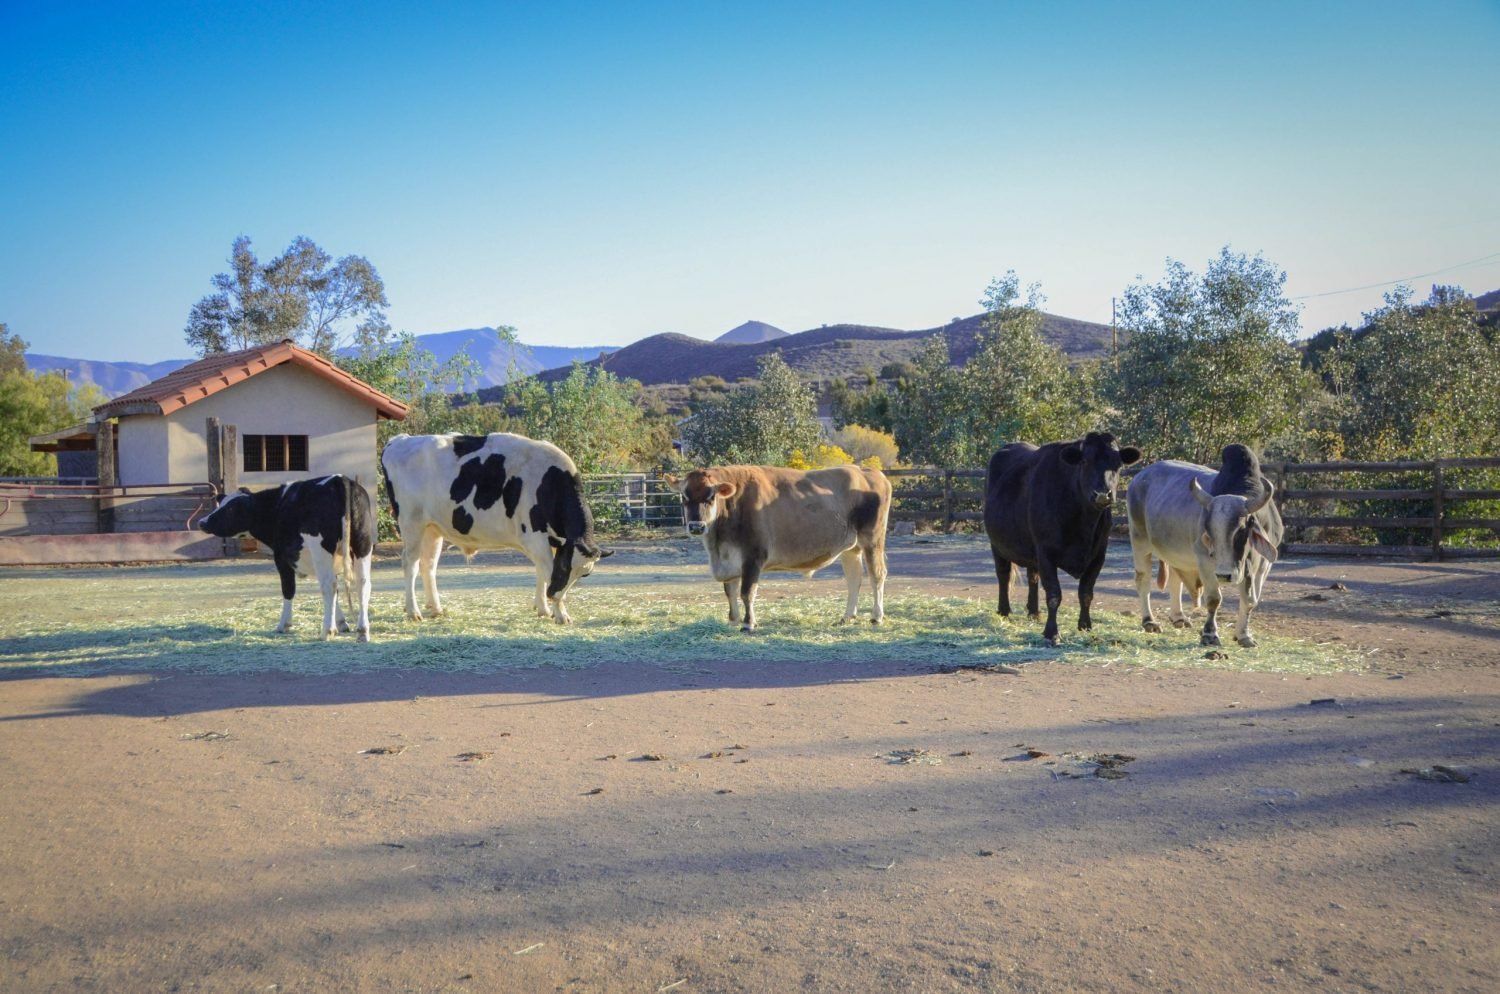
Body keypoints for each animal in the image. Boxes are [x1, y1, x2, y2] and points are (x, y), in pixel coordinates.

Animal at [198, 476, 373, 644]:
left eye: (230, 508)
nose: (202, 522)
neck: (277, 507)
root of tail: (339, 479)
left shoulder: (281, 558)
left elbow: (288, 590)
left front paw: (284, 624)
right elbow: (336, 593)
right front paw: (342, 623)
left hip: (321, 549)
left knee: (329, 585)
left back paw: (327, 632)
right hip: (363, 544)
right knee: (362, 583)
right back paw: (362, 631)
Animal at [378, 434, 612, 626]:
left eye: (585, 574)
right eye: (564, 567)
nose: (552, 594)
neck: (550, 483)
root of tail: (400, 440)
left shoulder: (551, 542)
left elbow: (541, 572)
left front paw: (544, 608)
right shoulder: (536, 538)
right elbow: (546, 571)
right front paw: (560, 614)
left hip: (432, 528)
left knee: (428, 565)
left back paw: (436, 609)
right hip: (411, 522)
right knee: (410, 563)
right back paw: (413, 611)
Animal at [669, 464, 888, 632]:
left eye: (711, 497)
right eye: (684, 498)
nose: (696, 526)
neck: (718, 543)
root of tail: (868, 471)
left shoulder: (753, 557)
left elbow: (747, 592)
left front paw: (748, 624)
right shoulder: (729, 560)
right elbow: (730, 592)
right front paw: (733, 621)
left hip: (872, 540)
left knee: (877, 575)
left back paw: (876, 616)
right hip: (851, 547)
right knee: (854, 578)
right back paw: (847, 616)